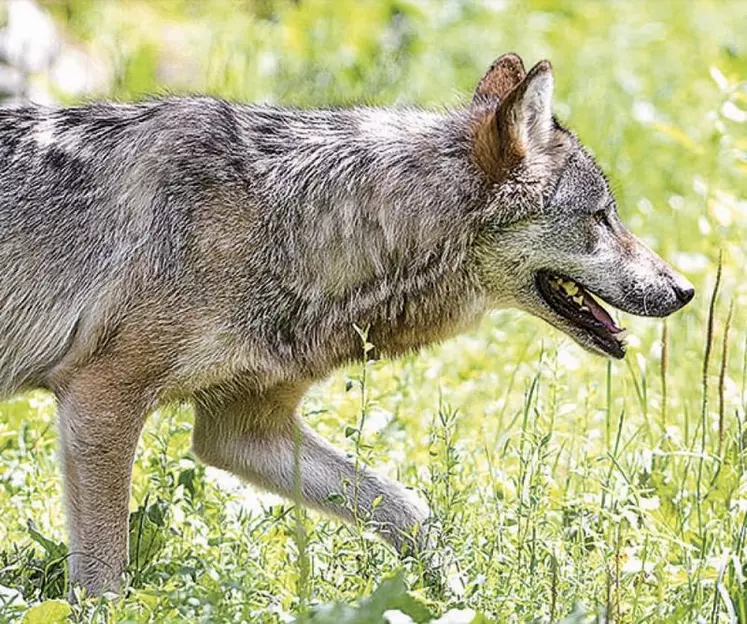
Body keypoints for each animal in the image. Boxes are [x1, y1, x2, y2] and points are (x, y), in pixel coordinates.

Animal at [0, 52, 696, 596]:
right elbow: (104, 578)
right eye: (601, 217)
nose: (684, 290)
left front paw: (453, 595)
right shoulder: (99, 402)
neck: (300, 225)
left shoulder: (240, 431)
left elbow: (411, 508)